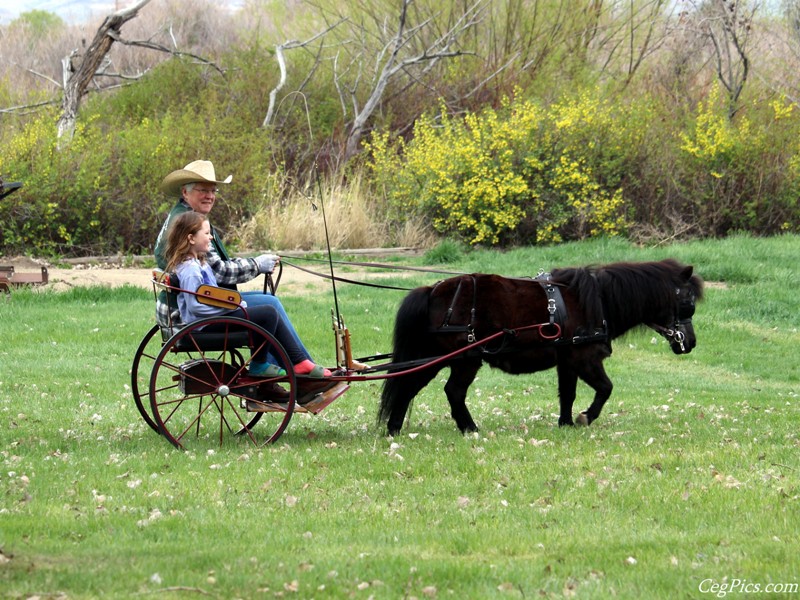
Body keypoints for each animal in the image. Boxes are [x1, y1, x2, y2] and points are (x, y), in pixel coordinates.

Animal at [378, 258, 704, 436]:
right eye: (687, 302)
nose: (689, 343)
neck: (598, 300)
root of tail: (432, 290)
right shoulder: (586, 358)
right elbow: (606, 388)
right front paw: (586, 417)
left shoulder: (568, 360)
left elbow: (568, 393)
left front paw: (566, 422)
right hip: (464, 358)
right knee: (448, 391)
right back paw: (467, 429)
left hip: (437, 356)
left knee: (410, 386)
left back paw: (396, 428)